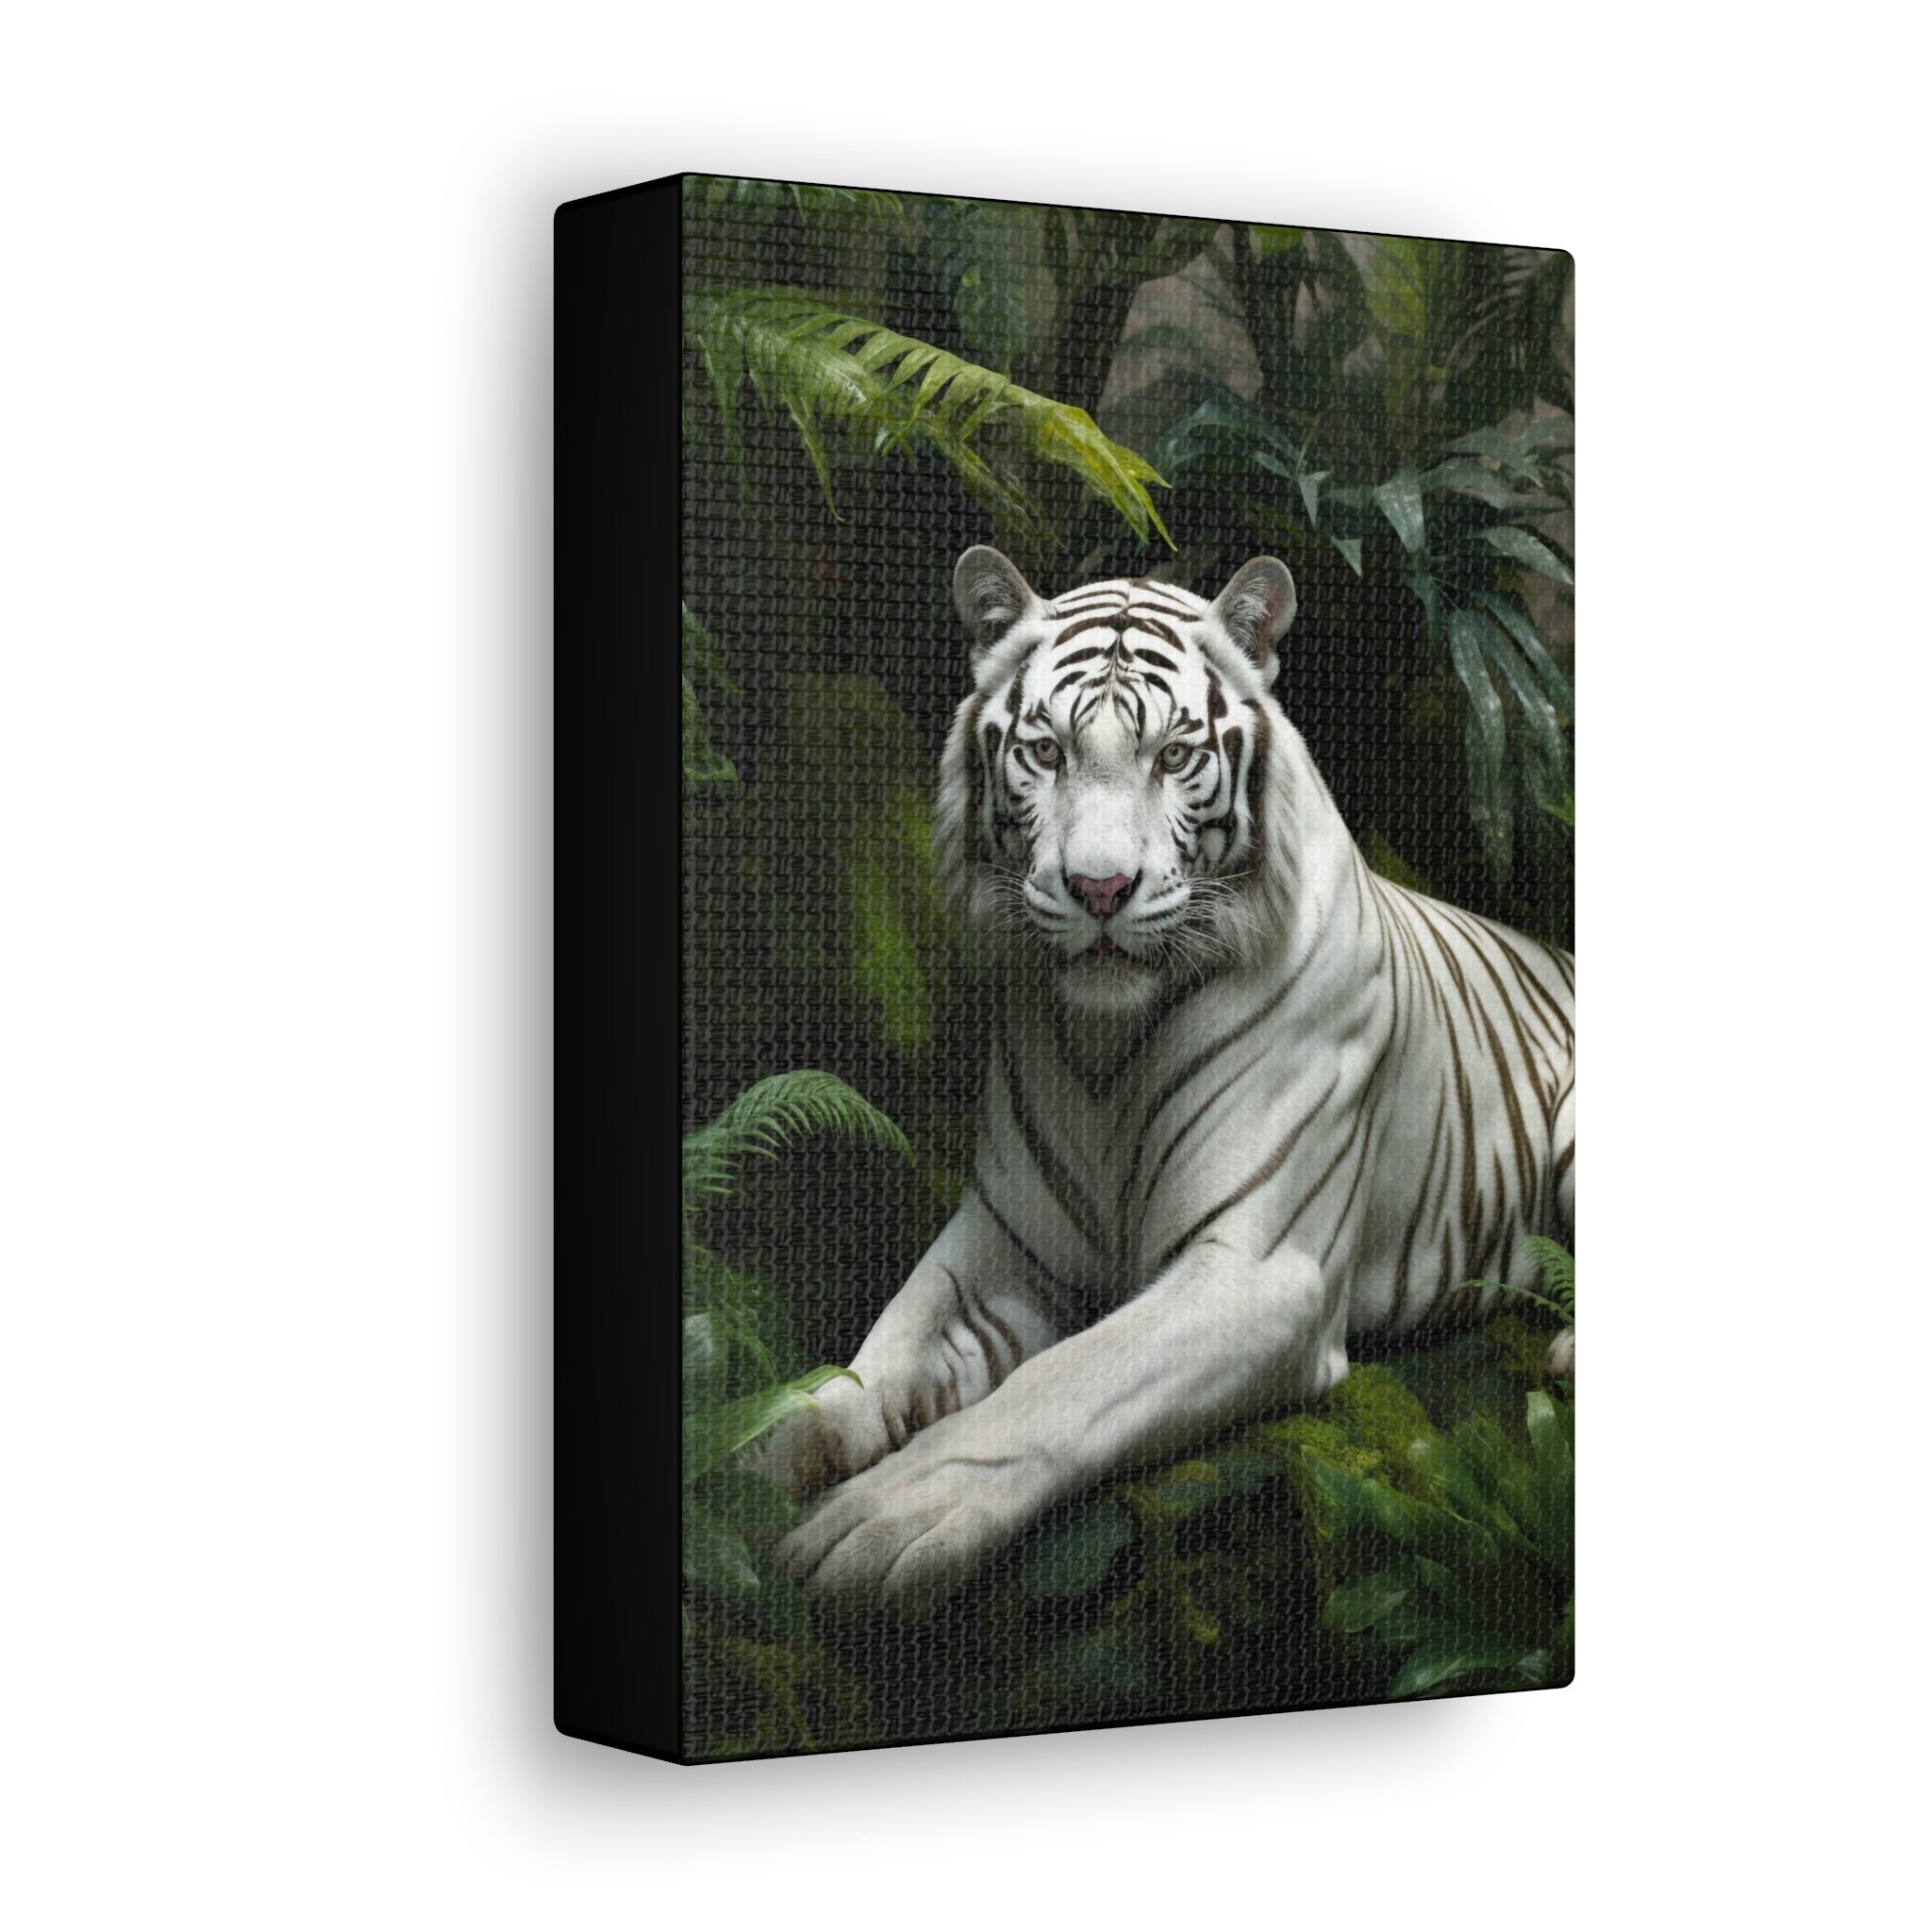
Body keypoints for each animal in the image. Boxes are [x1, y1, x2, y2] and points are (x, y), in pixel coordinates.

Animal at [771, 546, 1575, 1619]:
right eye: (1045, 752)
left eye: (1173, 755)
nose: (1099, 889)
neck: (1106, 1041)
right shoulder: (1004, 1239)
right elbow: (888, 1341)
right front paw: (777, 1445)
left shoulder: (1255, 1269)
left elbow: (1061, 1383)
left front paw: (881, 1520)